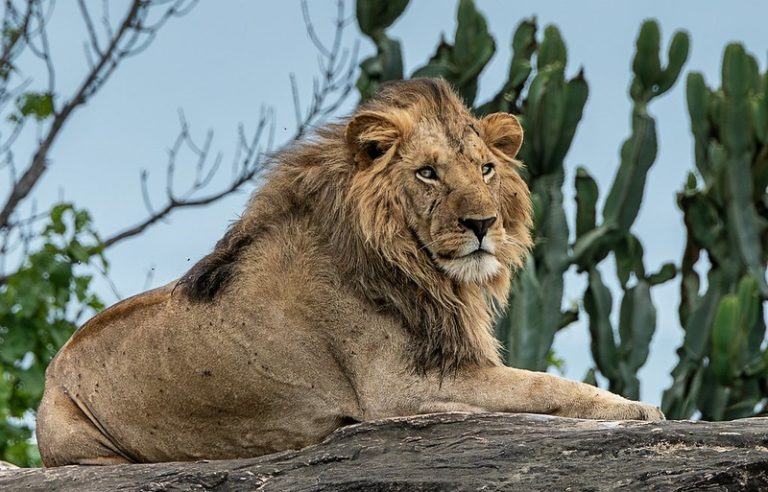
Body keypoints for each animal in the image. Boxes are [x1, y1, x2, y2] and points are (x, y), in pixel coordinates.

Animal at [36, 78, 663, 466]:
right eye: (428, 173)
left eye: (486, 168)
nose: (482, 223)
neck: (418, 270)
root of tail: (51, 370)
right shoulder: (399, 391)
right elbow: (543, 385)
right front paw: (636, 409)